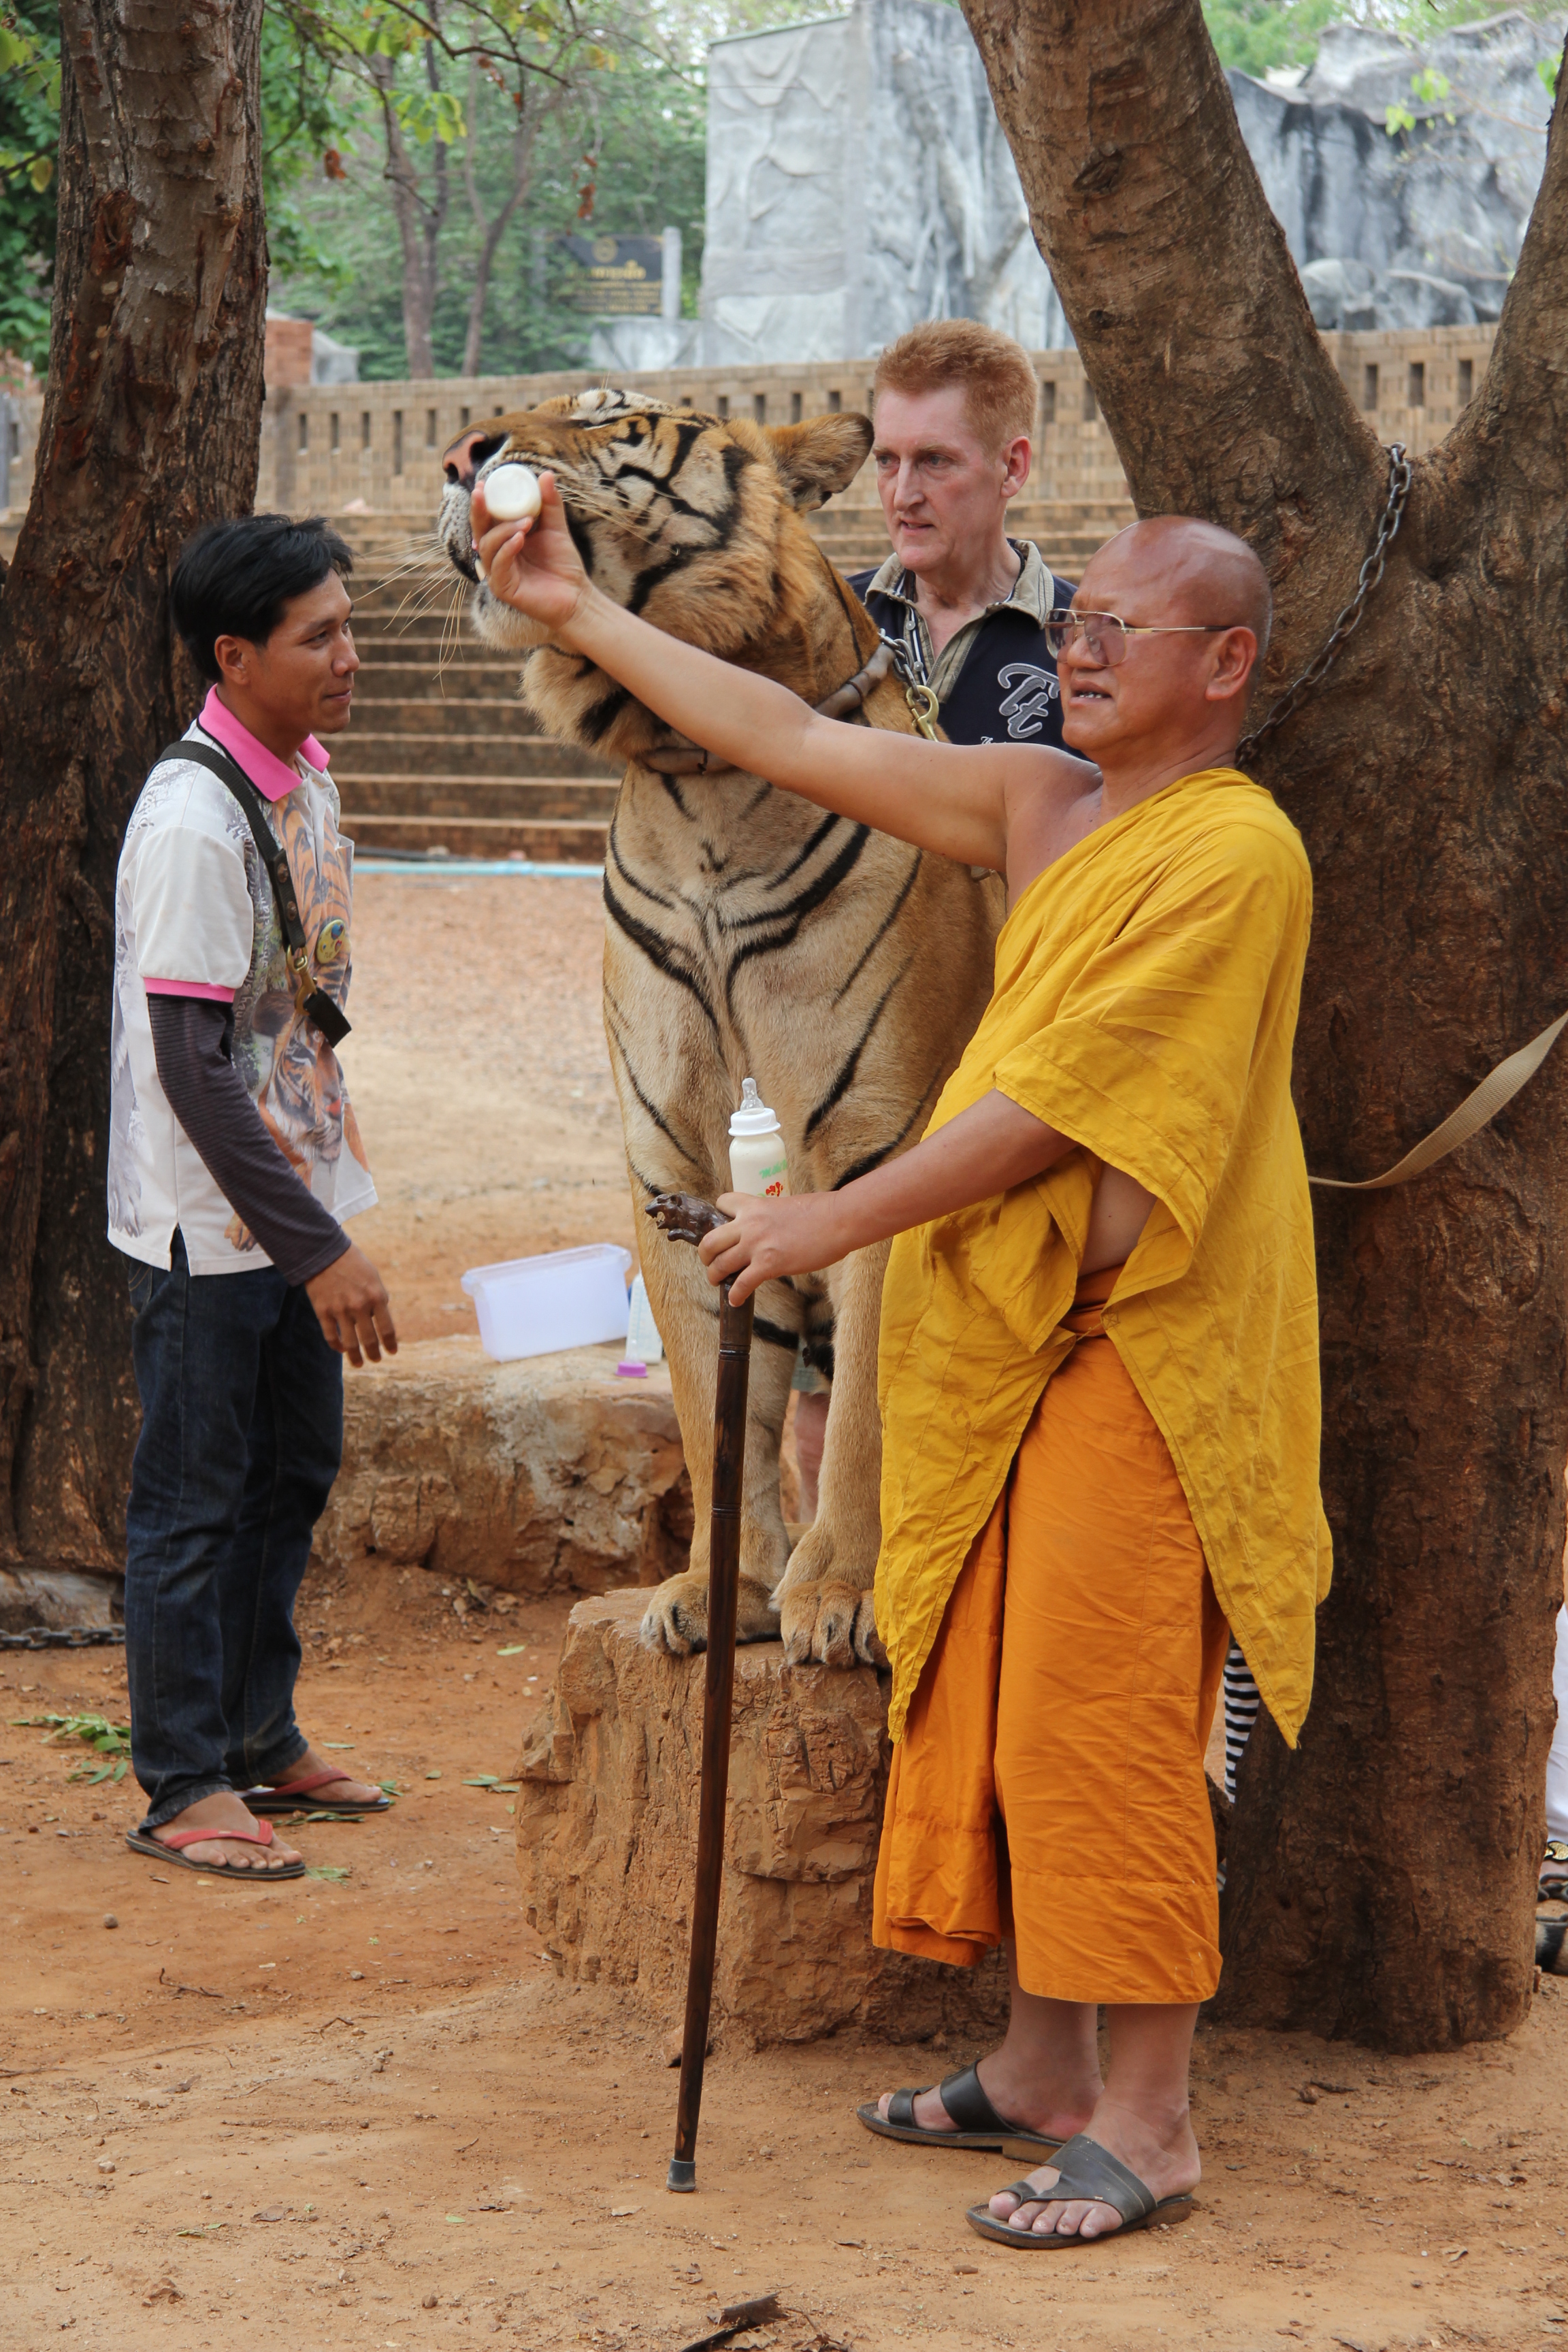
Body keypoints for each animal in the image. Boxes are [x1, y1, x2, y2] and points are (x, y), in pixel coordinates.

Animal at [435, 389, 1001, 1667]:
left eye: (614, 417)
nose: (458, 457)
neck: (693, 773)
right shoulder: (673, 1156)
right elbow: (709, 1405)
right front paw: (722, 1589)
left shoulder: (878, 1139)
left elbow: (865, 1412)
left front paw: (838, 1593)